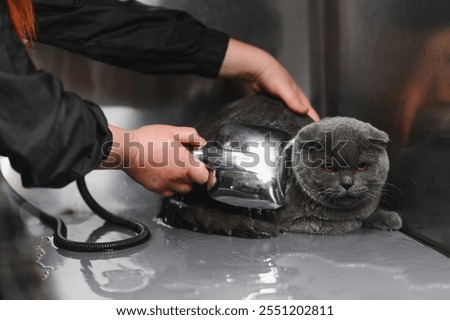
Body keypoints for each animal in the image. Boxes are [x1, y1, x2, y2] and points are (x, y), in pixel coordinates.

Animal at [157, 94, 400, 238]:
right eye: (329, 168)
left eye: (362, 166)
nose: (347, 183)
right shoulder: (291, 219)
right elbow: (332, 224)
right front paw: (356, 223)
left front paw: (388, 217)